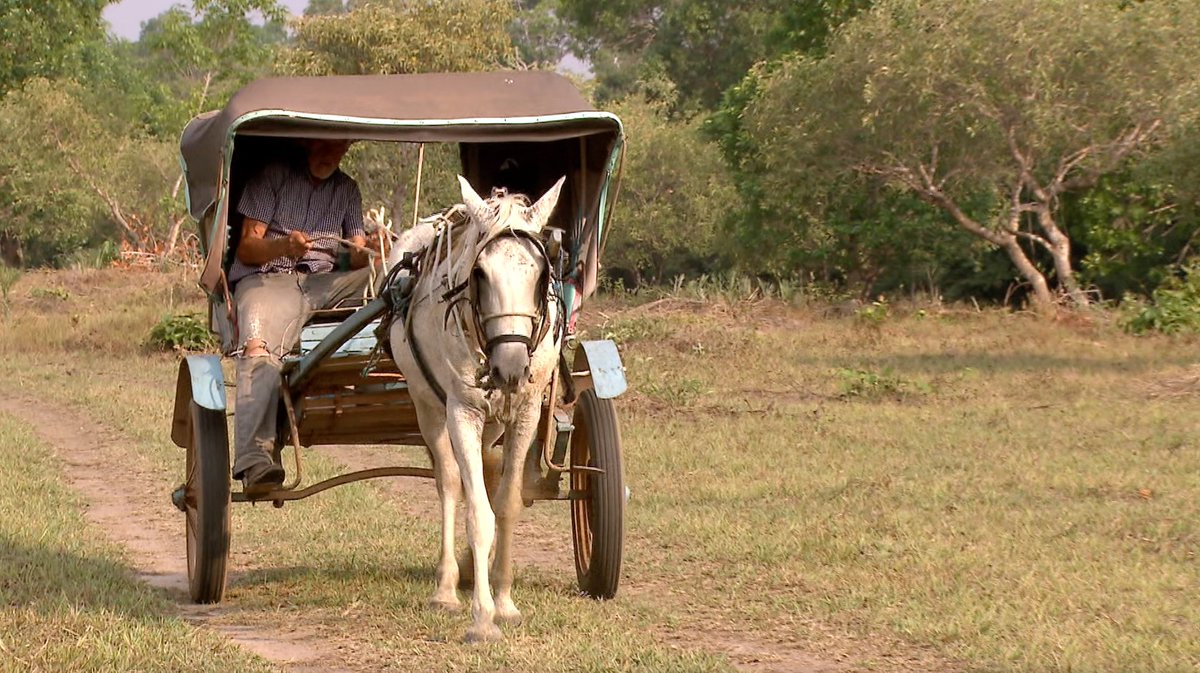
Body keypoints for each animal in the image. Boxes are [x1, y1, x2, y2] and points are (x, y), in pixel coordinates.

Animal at [388, 172, 566, 638]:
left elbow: (506, 505)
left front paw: (503, 600)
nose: (512, 366)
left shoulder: (525, 413)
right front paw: (483, 617)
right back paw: (447, 587)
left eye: (541, 273)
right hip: (429, 407)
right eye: (481, 274)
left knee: (481, 475)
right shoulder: (462, 412)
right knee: (451, 484)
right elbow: (478, 514)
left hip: (493, 422)